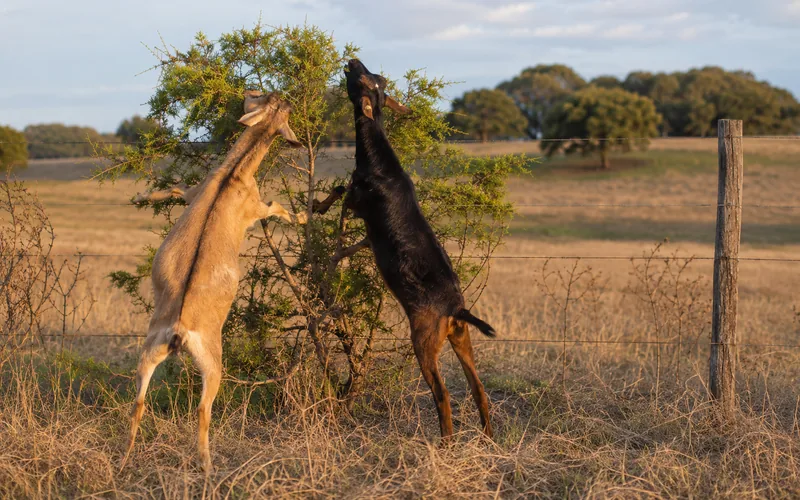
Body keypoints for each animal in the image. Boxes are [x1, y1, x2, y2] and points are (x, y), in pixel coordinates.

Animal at [123, 91, 306, 472]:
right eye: (268, 98)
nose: (247, 93)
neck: (233, 175)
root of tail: (179, 329)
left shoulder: (193, 192)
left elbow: (173, 189)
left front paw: (140, 196)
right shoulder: (257, 207)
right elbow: (279, 207)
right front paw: (305, 216)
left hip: (149, 350)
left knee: (139, 402)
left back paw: (125, 456)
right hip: (213, 363)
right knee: (202, 409)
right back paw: (207, 466)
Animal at [343, 59, 495, 439]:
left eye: (363, 79)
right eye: (376, 79)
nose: (352, 61)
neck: (380, 161)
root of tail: (456, 309)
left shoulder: (355, 199)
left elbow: (335, 194)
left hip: (425, 342)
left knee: (442, 394)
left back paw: (446, 442)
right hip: (460, 337)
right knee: (478, 388)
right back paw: (487, 437)